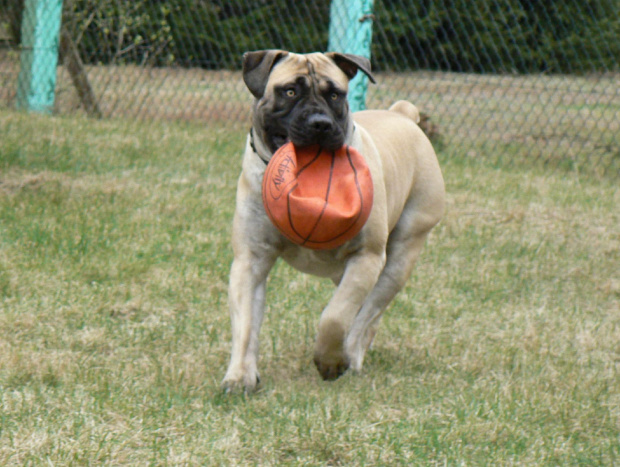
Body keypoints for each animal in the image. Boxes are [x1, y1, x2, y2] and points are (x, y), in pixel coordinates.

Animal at [223, 51, 446, 394]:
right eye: (290, 91)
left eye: (335, 95)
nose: (320, 123)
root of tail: (403, 115)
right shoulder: (250, 260)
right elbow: (246, 323)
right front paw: (239, 377)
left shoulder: (365, 257)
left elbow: (335, 317)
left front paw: (329, 361)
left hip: (398, 258)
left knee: (367, 314)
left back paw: (350, 356)